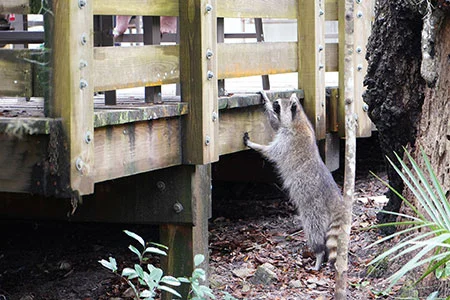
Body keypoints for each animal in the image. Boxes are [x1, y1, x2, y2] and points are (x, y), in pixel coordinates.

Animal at [244, 91, 342, 270]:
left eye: (278, 104)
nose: (273, 103)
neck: (299, 119)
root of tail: (337, 201)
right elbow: (276, 124)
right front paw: (265, 99)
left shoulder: (288, 140)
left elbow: (271, 152)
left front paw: (254, 145)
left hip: (315, 209)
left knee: (314, 230)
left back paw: (319, 254)